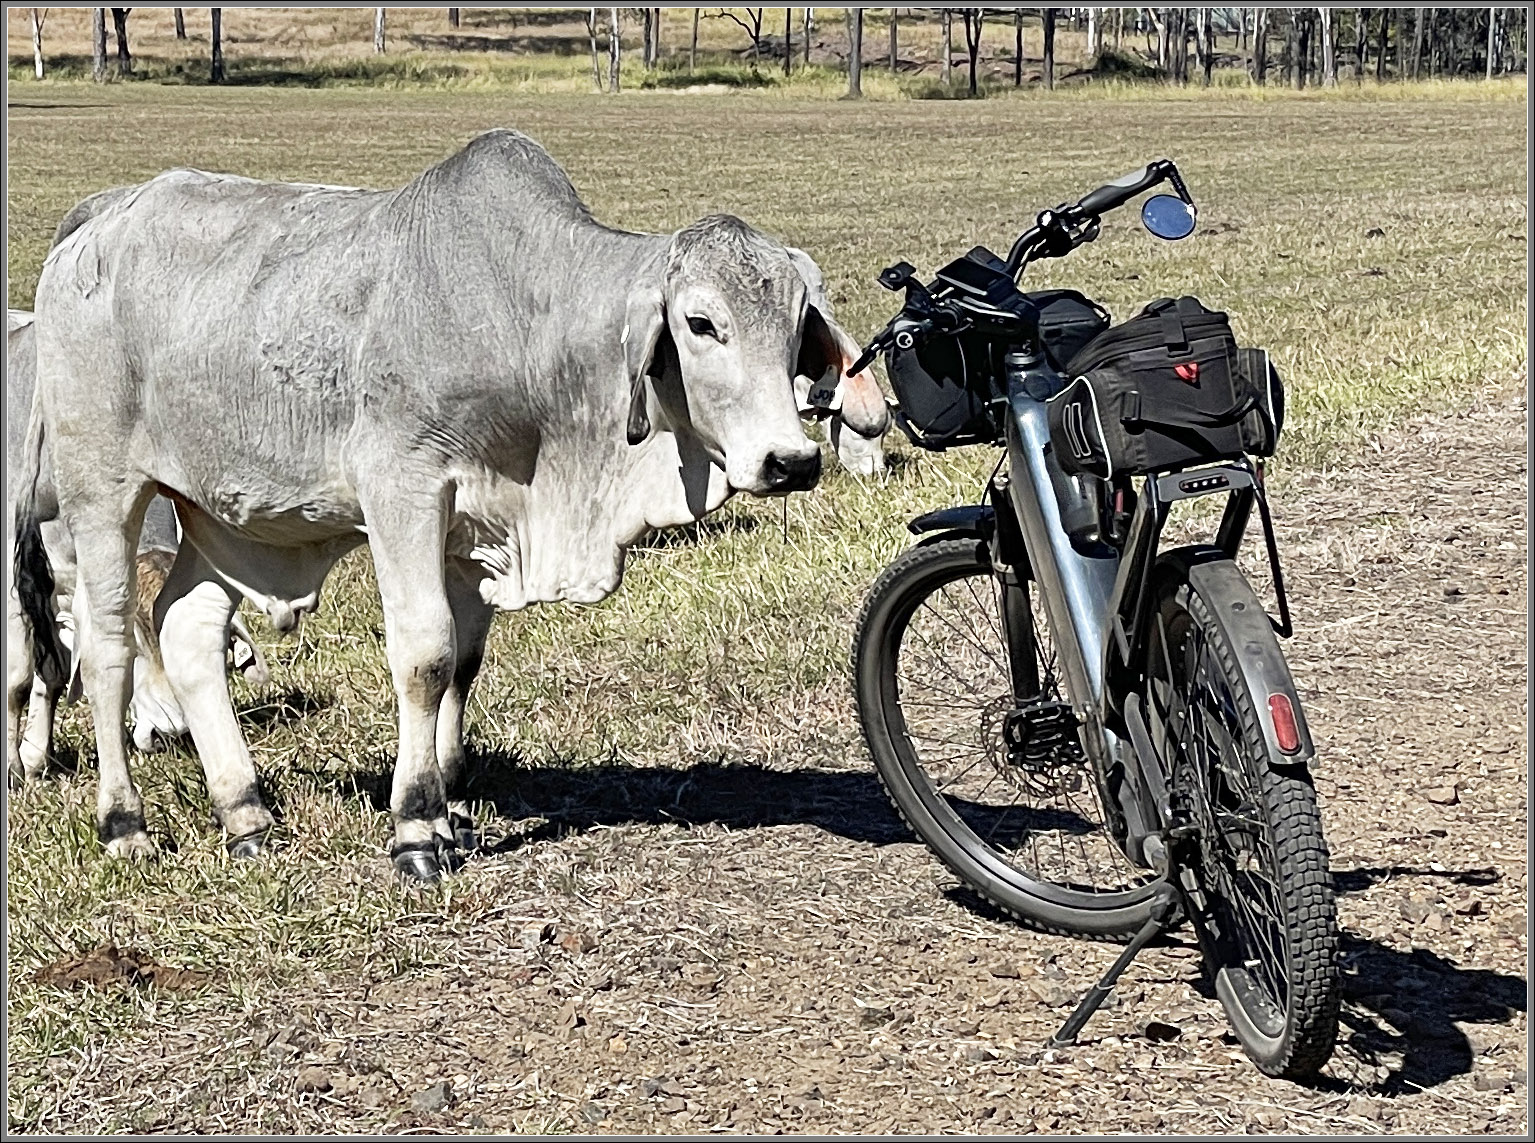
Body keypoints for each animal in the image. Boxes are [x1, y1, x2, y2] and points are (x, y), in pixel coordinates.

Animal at [5, 308, 267, 779]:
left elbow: (52, 674)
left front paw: (34, 757)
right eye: (134, 647)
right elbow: (18, 679)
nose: (170, 734)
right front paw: (15, 767)